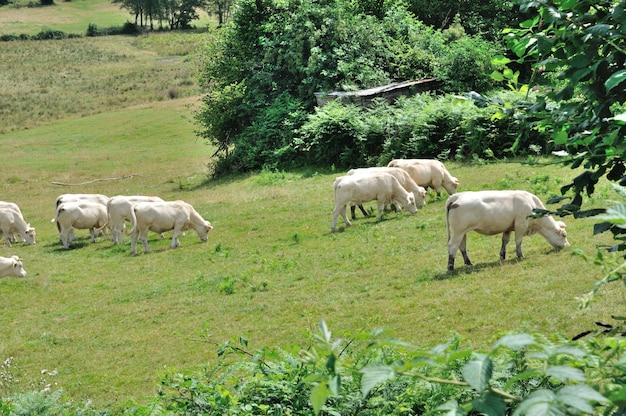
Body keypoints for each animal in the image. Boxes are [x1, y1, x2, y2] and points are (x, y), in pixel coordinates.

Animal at [444, 190, 572, 272]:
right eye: (564, 235)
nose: (568, 246)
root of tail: (456, 196)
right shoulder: (521, 225)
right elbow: (518, 241)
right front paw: (520, 255)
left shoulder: (508, 228)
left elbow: (505, 241)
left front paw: (502, 256)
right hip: (458, 231)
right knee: (452, 246)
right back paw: (450, 267)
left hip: (462, 232)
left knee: (462, 246)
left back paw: (468, 262)